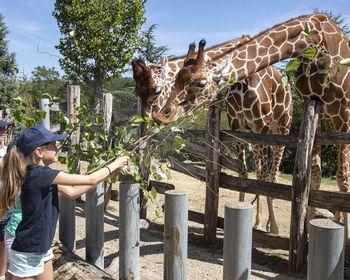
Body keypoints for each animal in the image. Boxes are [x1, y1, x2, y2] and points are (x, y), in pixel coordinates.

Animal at [133, 36, 294, 233]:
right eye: (137, 91)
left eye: (156, 90)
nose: (144, 120)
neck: (242, 81)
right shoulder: (238, 128)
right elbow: (243, 174)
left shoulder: (260, 126)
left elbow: (264, 177)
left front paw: (272, 227)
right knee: (260, 172)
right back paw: (259, 222)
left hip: (282, 128)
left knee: (272, 174)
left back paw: (271, 225)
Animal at [154, 13, 350, 223]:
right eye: (176, 80)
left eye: (201, 83)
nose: (162, 114)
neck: (313, 41)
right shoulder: (239, 127)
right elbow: (245, 174)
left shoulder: (341, 110)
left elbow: (341, 178)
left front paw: (266, 223)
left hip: (284, 126)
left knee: (274, 174)